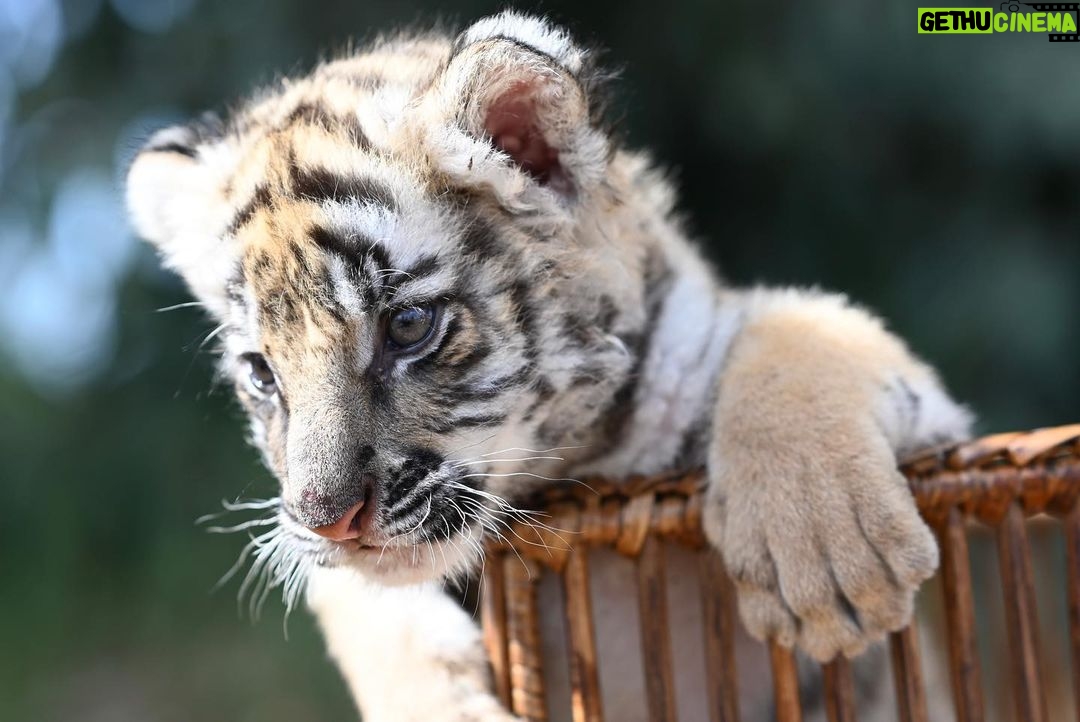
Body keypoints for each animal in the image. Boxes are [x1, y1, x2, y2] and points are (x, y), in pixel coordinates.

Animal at [126, 11, 972, 721]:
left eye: (407, 327)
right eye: (262, 373)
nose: (327, 520)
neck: (572, 465)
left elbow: (802, 332)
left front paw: (831, 568)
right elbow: (367, 604)